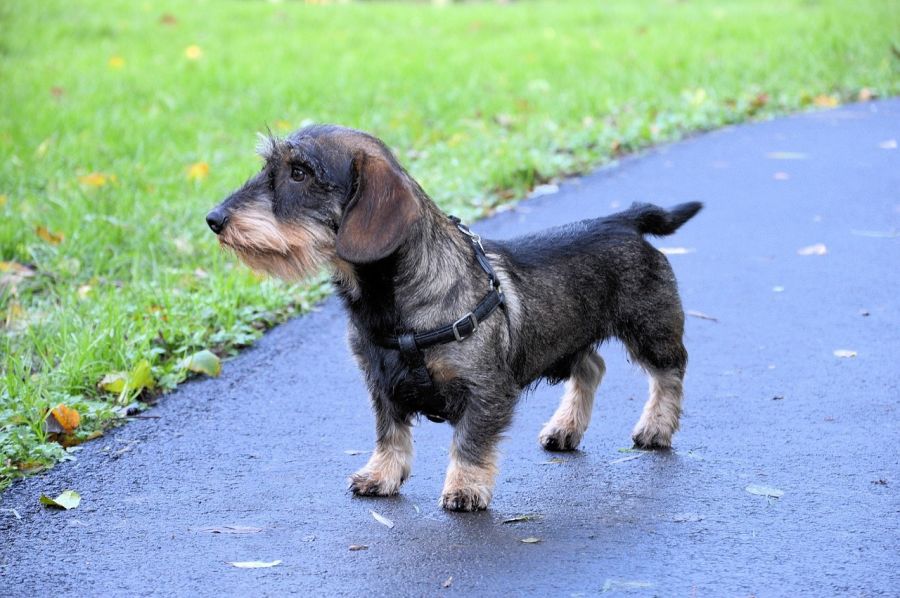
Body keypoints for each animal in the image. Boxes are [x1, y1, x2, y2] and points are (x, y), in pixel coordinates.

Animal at [209, 124, 704, 512]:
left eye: (299, 172)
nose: (213, 219)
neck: (392, 305)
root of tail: (623, 219)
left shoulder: (486, 390)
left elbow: (470, 442)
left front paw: (465, 488)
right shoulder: (380, 384)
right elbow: (389, 435)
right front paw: (381, 475)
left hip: (651, 329)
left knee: (670, 373)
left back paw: (656, 428)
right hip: (568, 336)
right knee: (591, 367)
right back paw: (565, 428)